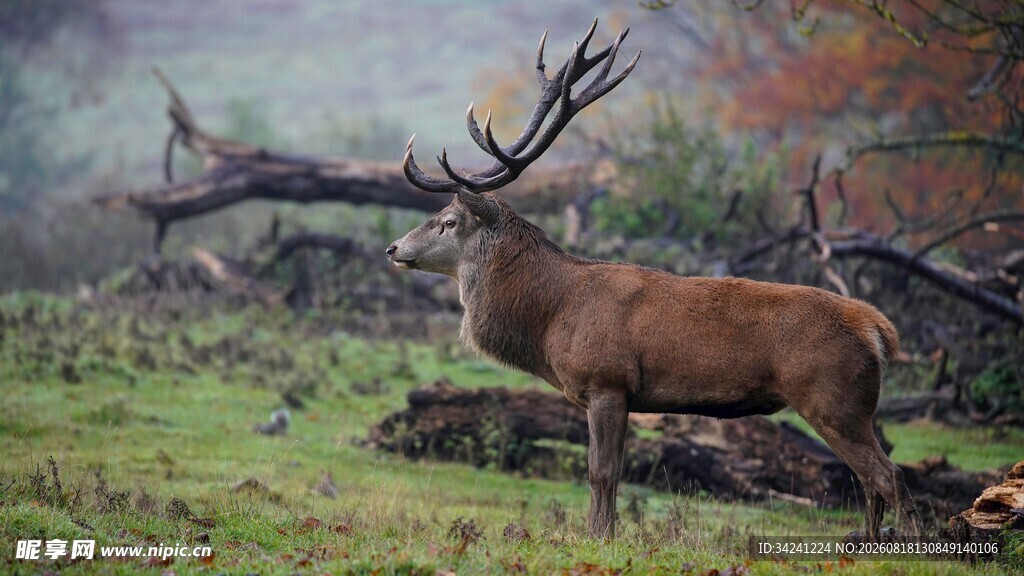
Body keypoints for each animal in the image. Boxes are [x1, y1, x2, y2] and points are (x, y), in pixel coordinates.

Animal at [386, 20, 924, 541]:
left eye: (449, 221)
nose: (393, 249)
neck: (551, 317)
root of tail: (879, 329)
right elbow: (608, 471)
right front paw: (602, 534)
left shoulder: (607, 381)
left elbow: (601, 472)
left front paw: (599, 538)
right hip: (854, 407)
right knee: (869, 481)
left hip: (832, 398)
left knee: (890, 475)